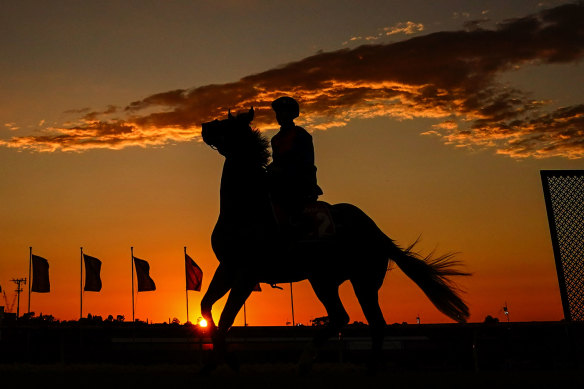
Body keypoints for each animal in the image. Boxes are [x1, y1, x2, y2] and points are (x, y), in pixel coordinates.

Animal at [201, 107, 470, 370]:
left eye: (227, 124)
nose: (204, 126)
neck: (247, 207)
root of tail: (376, 232)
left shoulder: (248, 273)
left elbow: (227, 316)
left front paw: (226, 361)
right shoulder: (227, 268)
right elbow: (207, 308)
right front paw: (218, 361)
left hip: (356, 280)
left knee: (366, 321)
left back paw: (335, 362)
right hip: (329, 280)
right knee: (350, 318)